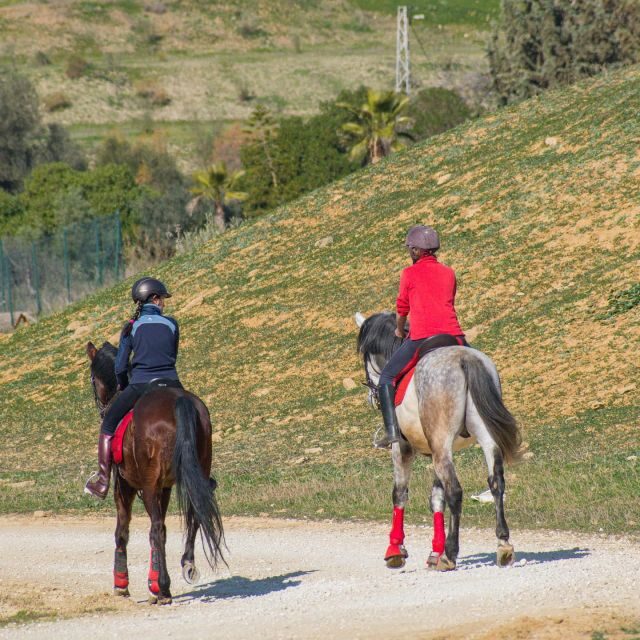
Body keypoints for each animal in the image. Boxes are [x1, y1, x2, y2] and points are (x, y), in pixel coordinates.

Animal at [86, 340, 225, 604]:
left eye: (92, 378)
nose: (101, 409)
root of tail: (178, 401)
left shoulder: (125, 484)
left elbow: (123, 530)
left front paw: (123, 583)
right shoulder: (166, 486)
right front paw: (152, 583)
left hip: (147, 484)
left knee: (157, 528)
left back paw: (164, 586)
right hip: (194, 470)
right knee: (193, 513)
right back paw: (185, 565)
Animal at [355, 312, 522, 571]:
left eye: (364, 356)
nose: (371, 397)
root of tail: (463, 359)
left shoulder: (402, 448)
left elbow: (400, 494)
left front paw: (396, 550)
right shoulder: (436, 449)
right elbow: (436, 498)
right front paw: (434, 551)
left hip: (440, 443)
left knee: (455, 491)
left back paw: (450, 553)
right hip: (479, 439)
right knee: (496, 483)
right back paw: (503, 543)